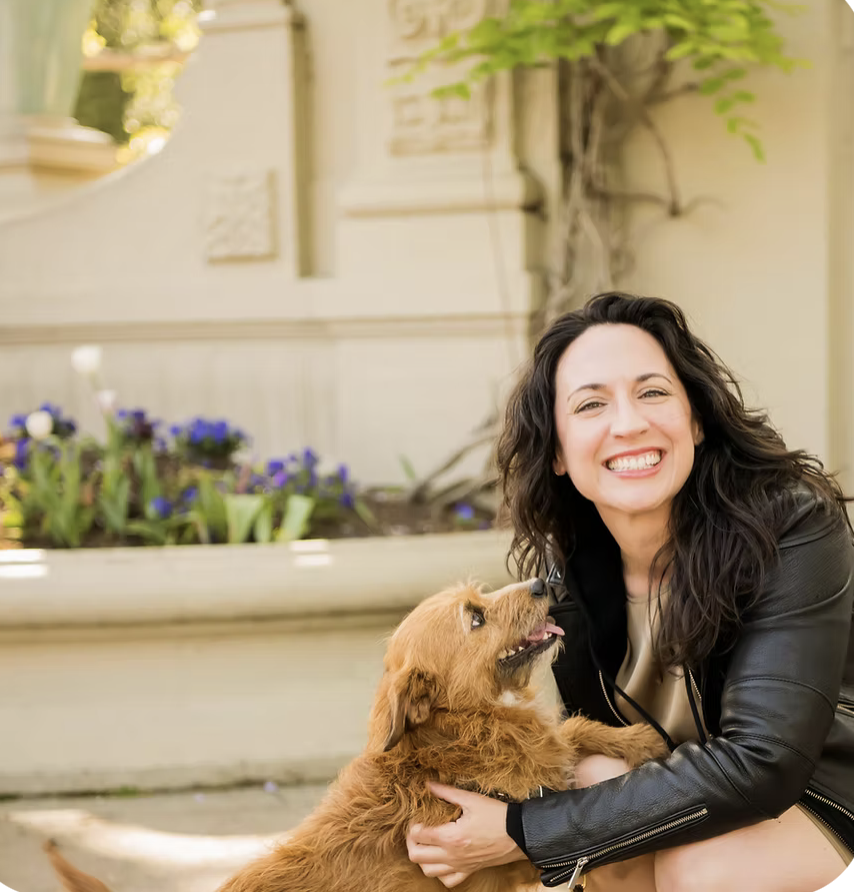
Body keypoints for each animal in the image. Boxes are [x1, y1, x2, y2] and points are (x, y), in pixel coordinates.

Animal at [46, 578, 667, 892]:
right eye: (475, 618)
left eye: (483, 597)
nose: (544, 578)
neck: (462, 731)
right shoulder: (506, 861)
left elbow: (575, 731)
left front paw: (639, 740)